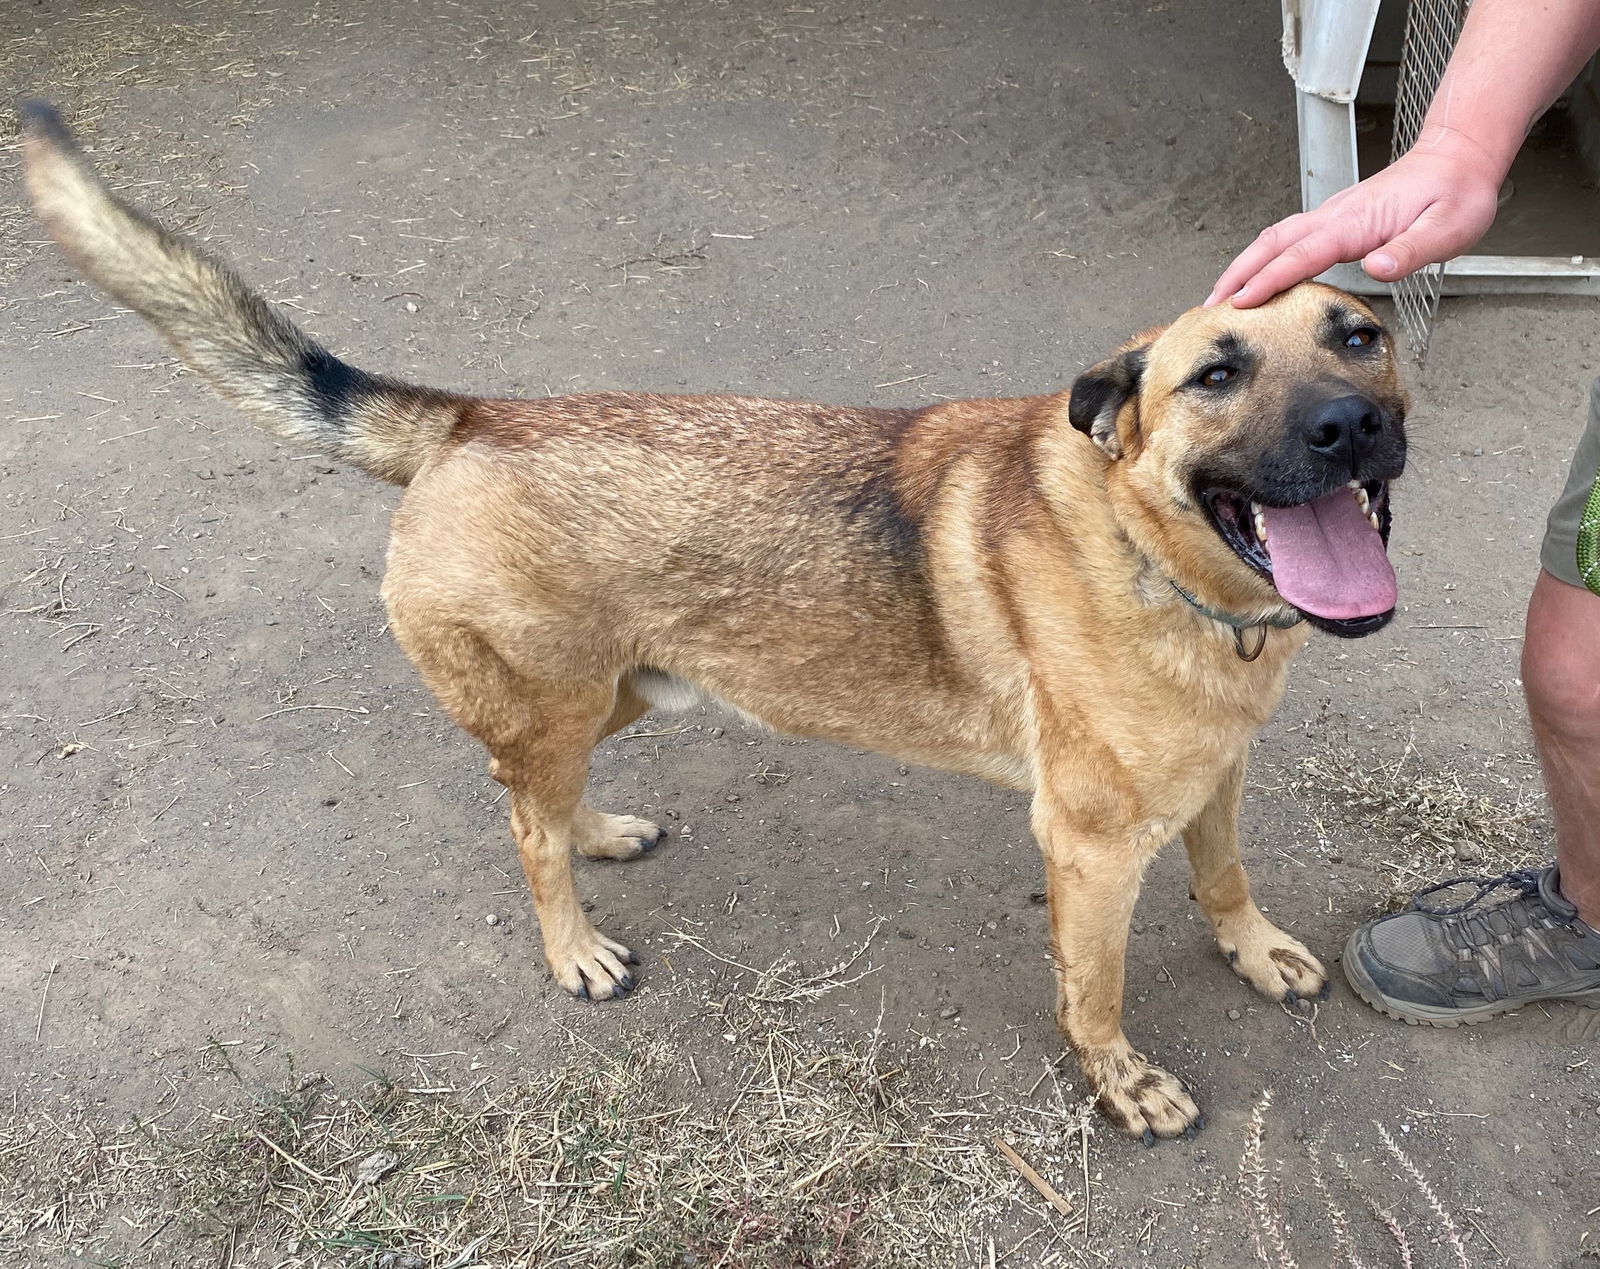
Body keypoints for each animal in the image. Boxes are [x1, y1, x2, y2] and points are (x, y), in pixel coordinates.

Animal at [21, 106, 1401, 1139]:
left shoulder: (1215, 776)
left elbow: (1225, 876)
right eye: (1215, 374)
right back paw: (573, 946)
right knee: (522, 825)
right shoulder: (1092, 847)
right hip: (562, 696)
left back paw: (598, 832)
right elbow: (1096, 990)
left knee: (528, 791)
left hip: (614, 691)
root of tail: (468, 420)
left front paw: (1253, 949)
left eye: (1359, 335)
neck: (1163, 571)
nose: (1353, 426)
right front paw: (1119, 1083)